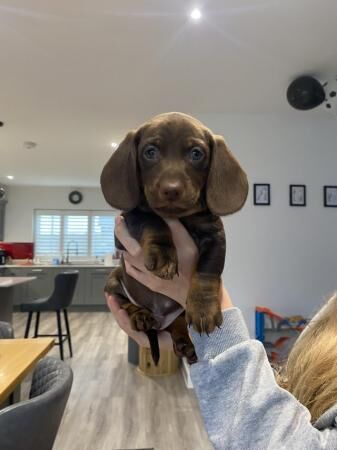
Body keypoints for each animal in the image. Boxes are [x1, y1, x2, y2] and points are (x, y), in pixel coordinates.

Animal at [100, 113, 247, 366]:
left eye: (196, 153)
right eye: (150, 152)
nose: (171, 190)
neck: (178, 216)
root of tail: (160, 320)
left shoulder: (215, 236)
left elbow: (207, 270)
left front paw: (203, 308)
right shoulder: (127, 226)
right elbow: (153, 220)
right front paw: (163, 255)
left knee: (178, 322)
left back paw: (185, 342)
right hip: (114, 279)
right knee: (125, 301)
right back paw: (141, 316)